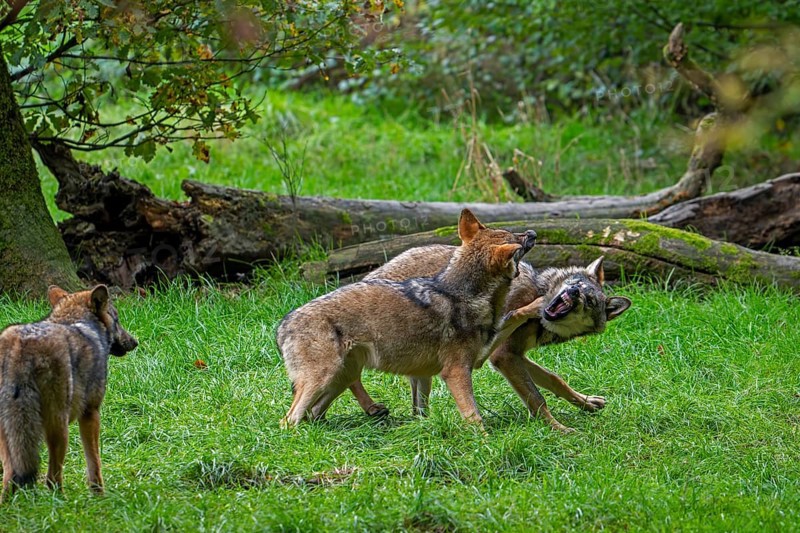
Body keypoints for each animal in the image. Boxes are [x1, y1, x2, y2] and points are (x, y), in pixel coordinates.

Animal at [0, 285, 138, 501]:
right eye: (117, 320)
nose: (135, 342)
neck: (75, 320)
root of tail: (18, 345)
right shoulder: (91, 413)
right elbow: (94, 462)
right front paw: (99, 496)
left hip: (8, 434)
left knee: (10, 478)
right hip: (59, 427)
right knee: (51, 479)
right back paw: (62, 503)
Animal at [277, 209, 537, 427]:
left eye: (512, 233)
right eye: (516, 242)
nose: (533, 233)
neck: (462, 294)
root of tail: (282, 326)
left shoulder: (466, 361)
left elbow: (421, 412)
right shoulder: (456, 371)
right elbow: (474, 417)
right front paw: (483, 443)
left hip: (341, 376)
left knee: (314, 413)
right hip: (323, 378)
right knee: (289, 420)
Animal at [349, 245, 631, 432]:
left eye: (589, 300)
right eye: (576, 284)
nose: (572, 292)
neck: (537, 294)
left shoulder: (514, 356)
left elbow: (554, 379)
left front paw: (587, 403)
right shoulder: (503, 357)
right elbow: (537, 398)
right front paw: (558, 429)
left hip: (424, 368)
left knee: (417, 404)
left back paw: (421, 423)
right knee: (352, 374)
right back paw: (372, 408)